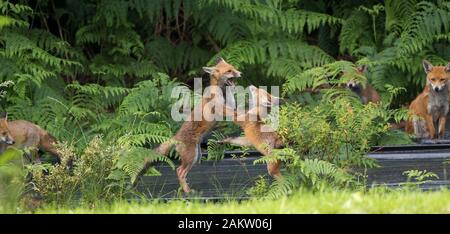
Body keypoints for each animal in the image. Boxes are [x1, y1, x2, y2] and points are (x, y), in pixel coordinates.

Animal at [138, 57, 241, 193]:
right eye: (229, 71)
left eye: (233, 68)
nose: (240, 73)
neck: (221, 93)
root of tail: (176, 137)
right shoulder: (221, 110)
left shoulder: (228, 105)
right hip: (191, 157)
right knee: (179, 171)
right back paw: (188, 192)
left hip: (195, 157)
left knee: (182, 172)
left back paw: (185, 188)